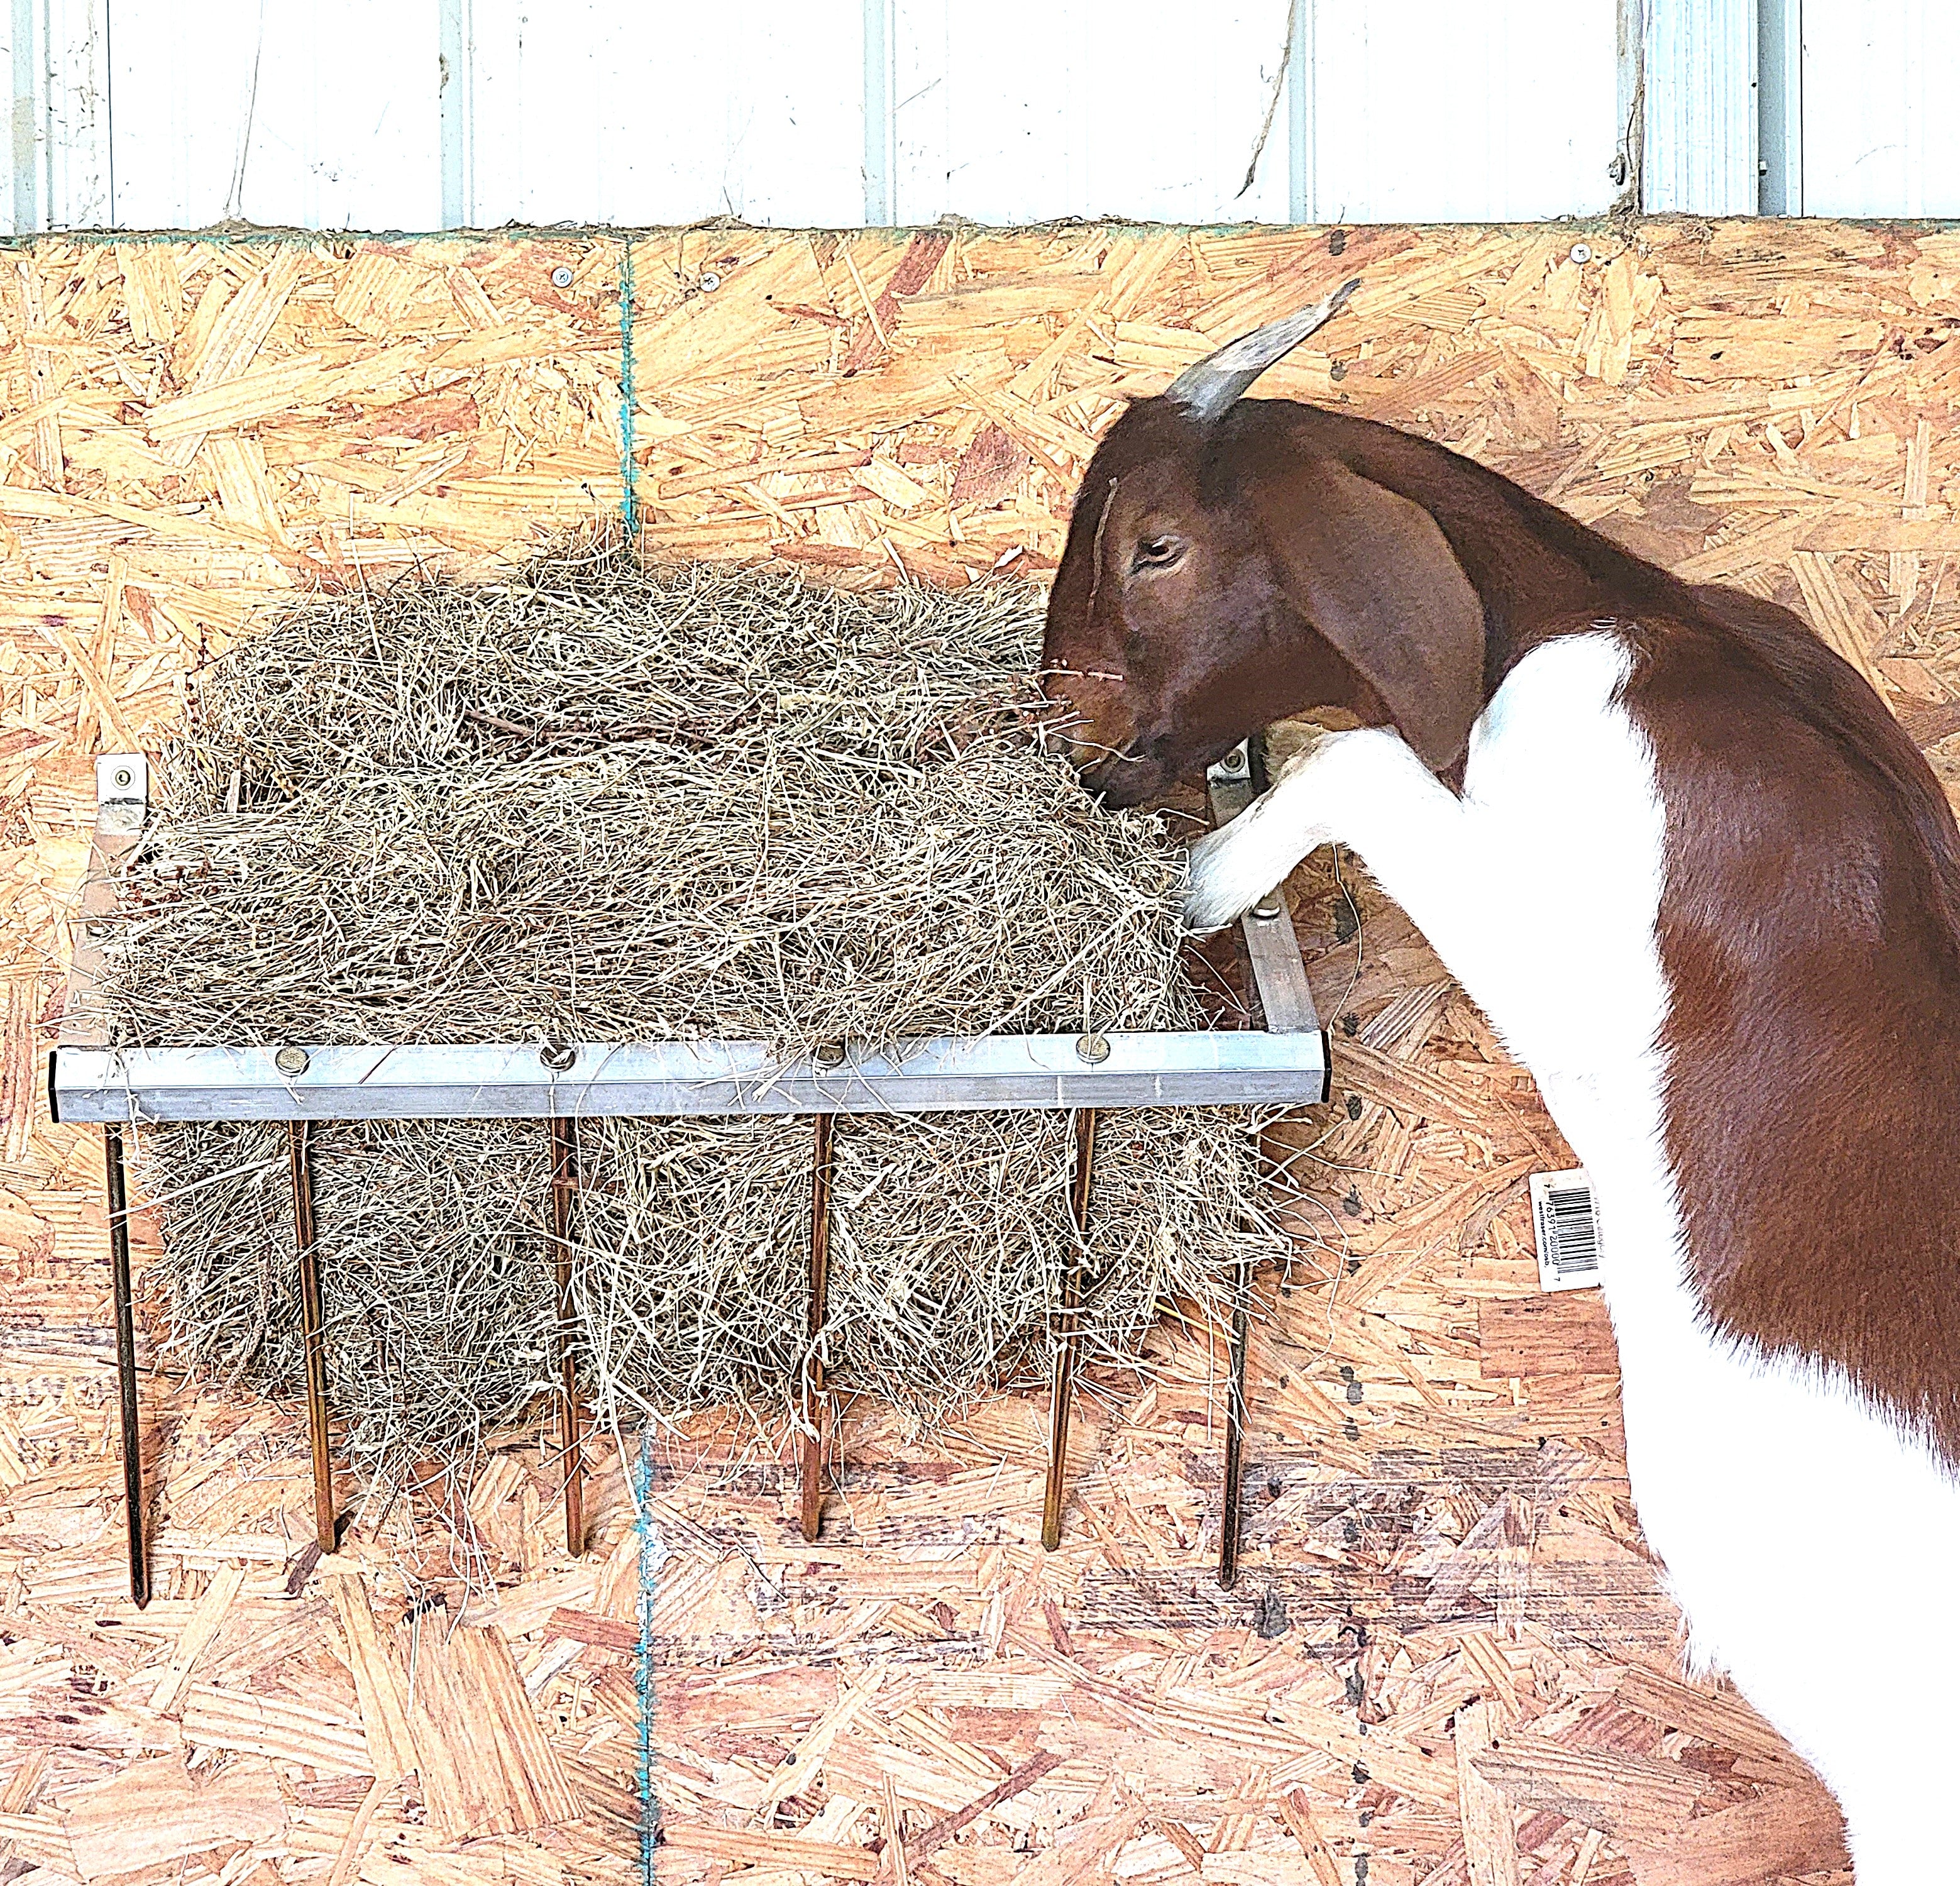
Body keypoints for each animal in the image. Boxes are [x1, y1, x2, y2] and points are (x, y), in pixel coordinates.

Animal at [1040, 283, 1960, 1882]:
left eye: (1154, 546)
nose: (1070, 745)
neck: (1627, 623)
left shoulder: (1579, 956)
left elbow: (1358, 757)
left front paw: (1203, 883)